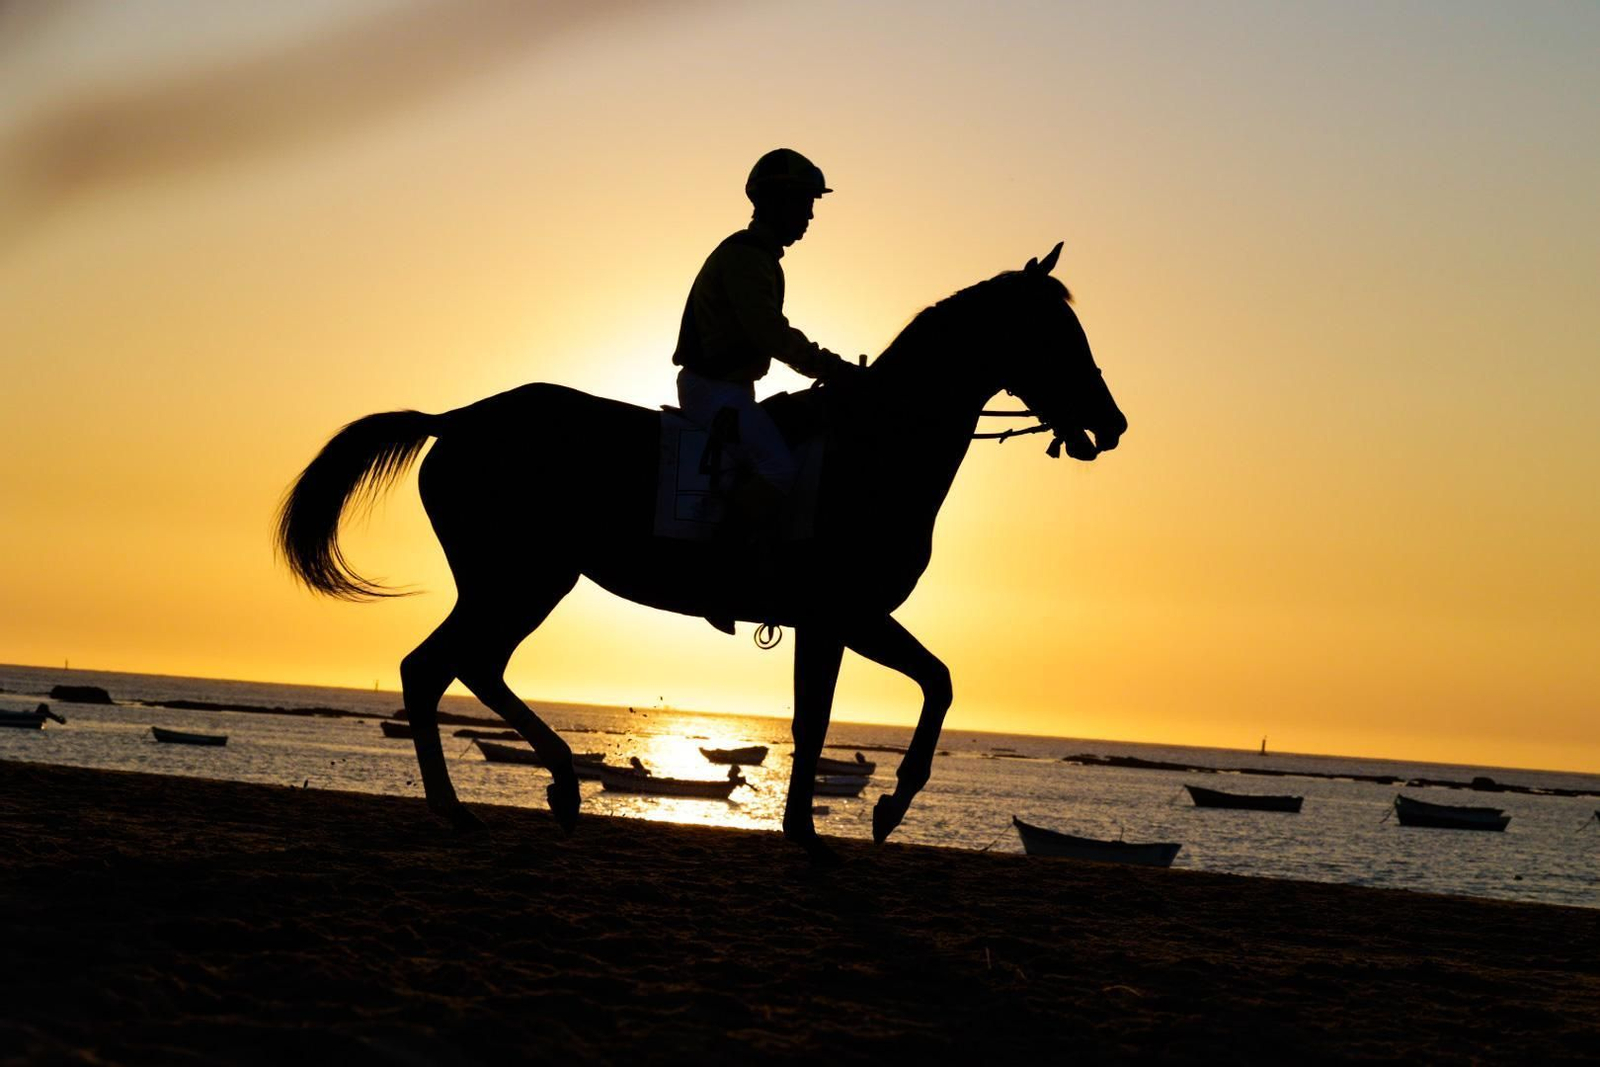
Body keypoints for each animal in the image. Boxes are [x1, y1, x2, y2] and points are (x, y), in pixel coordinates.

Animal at [275, 242, 1126, 863]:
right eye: (1055, 334)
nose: (1111, 423)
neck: (874, 447)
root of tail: (456, 419)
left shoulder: (839, 620)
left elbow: (897, 694)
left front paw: (860, 812)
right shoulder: (841, 615)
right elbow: (853, 710)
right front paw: (852, 819)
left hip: (524, 581)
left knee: (468, 667)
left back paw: (553, 785)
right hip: (520, 579)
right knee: (436, 668)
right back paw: (475, 806)